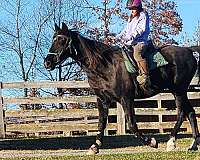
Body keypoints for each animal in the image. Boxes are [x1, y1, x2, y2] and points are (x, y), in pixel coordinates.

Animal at [44, 22, 200, 154]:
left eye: (62, 40)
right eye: (53, 39)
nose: (47, 62)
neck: (105, 66)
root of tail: (188, 50)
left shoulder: (126, 99)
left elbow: (131, 124)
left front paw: (151, 142)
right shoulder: (102, 100)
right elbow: (101, 123)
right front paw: (95, 147)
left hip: (178, 90)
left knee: (181, 113)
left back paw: (171, 142)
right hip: (179, 91)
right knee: (191, 113)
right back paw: (193, 145)